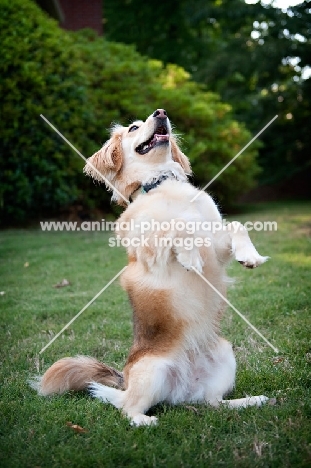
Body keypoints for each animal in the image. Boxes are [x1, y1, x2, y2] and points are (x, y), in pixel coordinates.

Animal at [33, 109, 270, 424]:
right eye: (134, 128)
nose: (161, 113)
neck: (160, 184)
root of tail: (182, 391)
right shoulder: (150, 250)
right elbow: (177, 226)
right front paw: (189, 255)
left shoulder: (216, 250)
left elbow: (236, 226)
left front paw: (250, 255)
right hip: (153, 371)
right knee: (126, 408)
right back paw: (146, 421)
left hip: (225, 354)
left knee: (214, 403)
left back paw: (251, 401)